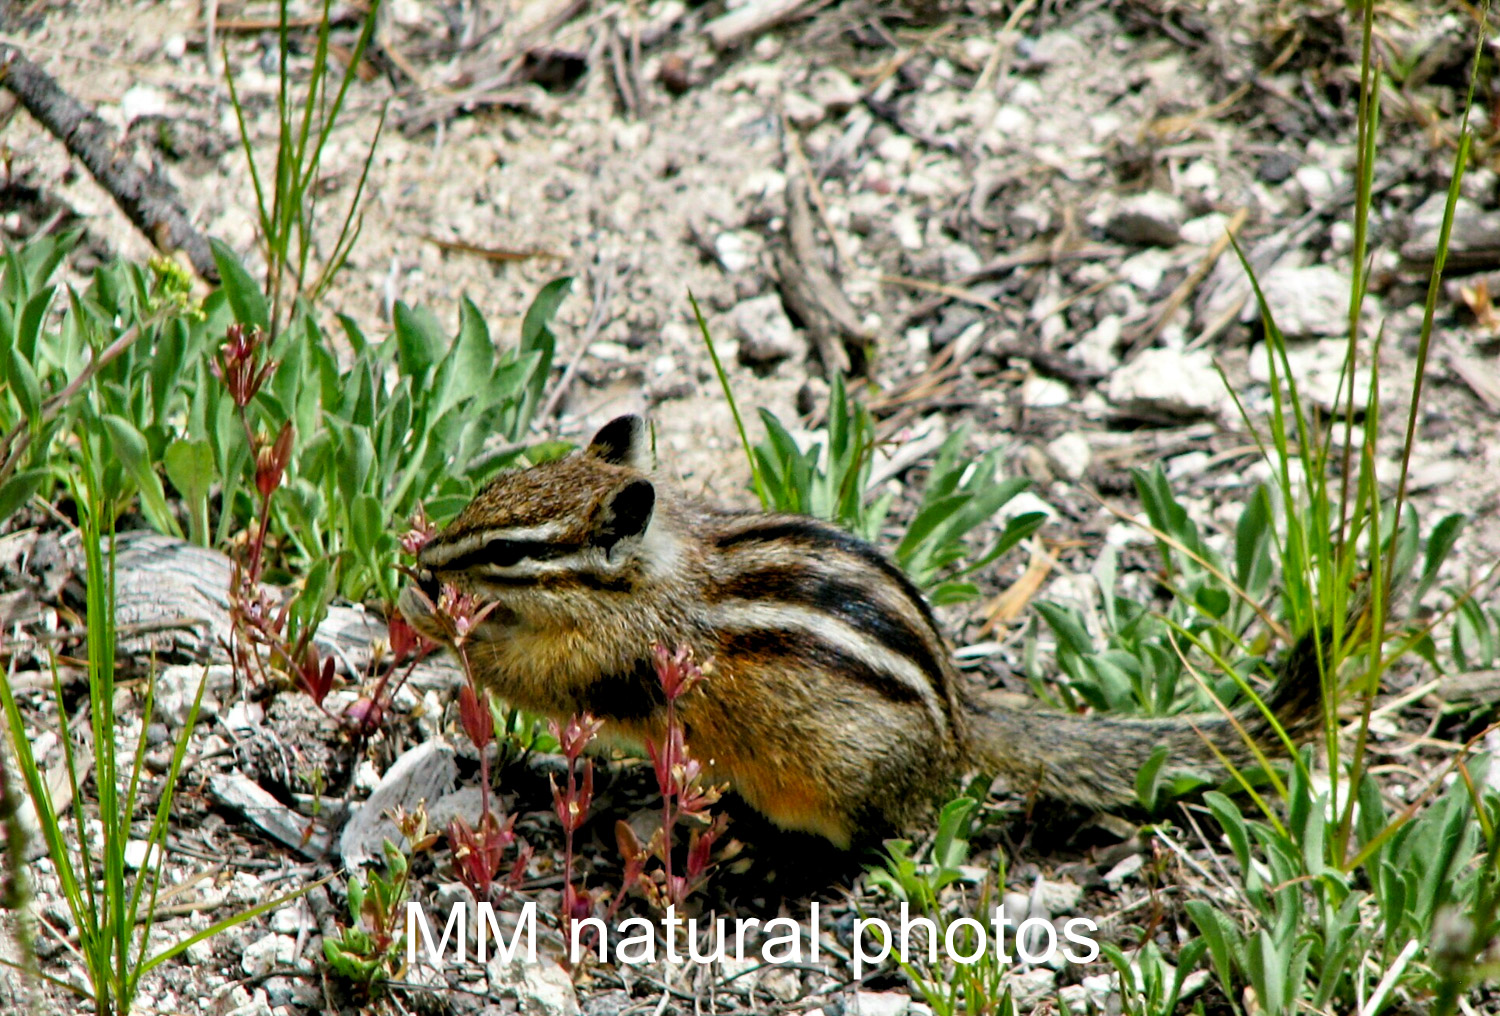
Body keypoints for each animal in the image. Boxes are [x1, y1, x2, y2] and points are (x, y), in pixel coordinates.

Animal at [398, 414, 1329, 848]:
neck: (654, 572)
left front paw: (430, 614)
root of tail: (959, 723)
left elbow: (533, 678)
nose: (428, 559)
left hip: (835, 781)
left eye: (511, 550)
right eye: (489, 491)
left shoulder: (615, 657)